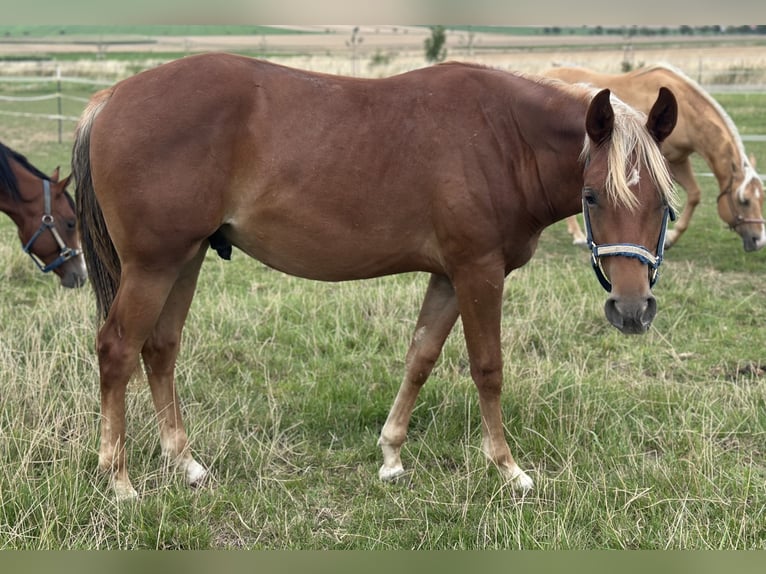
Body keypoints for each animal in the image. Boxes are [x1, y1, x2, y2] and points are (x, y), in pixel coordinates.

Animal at [72, 54, 678, 500]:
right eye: (593, 195)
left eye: (663, 204)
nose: (632, 310)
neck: (503, 137)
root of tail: (111, 98)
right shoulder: (478, 270)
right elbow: (488, 368)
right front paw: (508, 469)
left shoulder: (448, 276)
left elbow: (420, 358)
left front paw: (390, 455)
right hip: (152, 266)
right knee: (117, 350)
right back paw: (119, 480)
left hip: (186, 257)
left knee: (161, 349)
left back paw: (185, 463)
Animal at [545, 63, 766, 252]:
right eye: (744, 201)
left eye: (761, 197)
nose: (759, 240)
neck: (686, 111)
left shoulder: (679, 160)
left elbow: (694, 194)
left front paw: (670, 238)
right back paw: (578, 235)